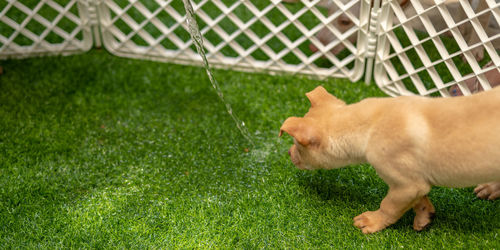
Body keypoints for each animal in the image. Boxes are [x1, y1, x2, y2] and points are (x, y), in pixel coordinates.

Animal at [280, 86, 500, 234]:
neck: (370, 124)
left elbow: (389, 205)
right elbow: (420, 199)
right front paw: (425, 216)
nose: (289, 153)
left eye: (298, 146)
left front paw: (372, 221)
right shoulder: (415, 182)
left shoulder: (406, 185)